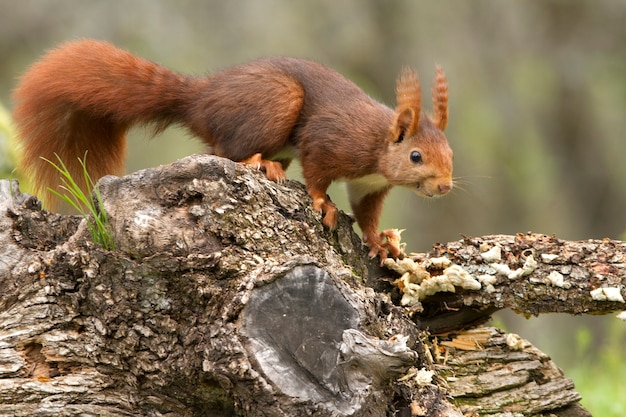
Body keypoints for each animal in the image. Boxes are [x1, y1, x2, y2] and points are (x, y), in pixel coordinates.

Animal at [12, 39, 450, 260]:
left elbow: (366, 212)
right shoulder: (331, 140)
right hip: (277, 103)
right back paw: (261, 164)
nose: (445, 187)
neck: (378, 145)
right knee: (227, 151)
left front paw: (379, 242)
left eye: (449, 155)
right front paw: (321, 203)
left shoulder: (369, 185)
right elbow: (316, 174)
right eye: (416, 156)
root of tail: (203, 99)